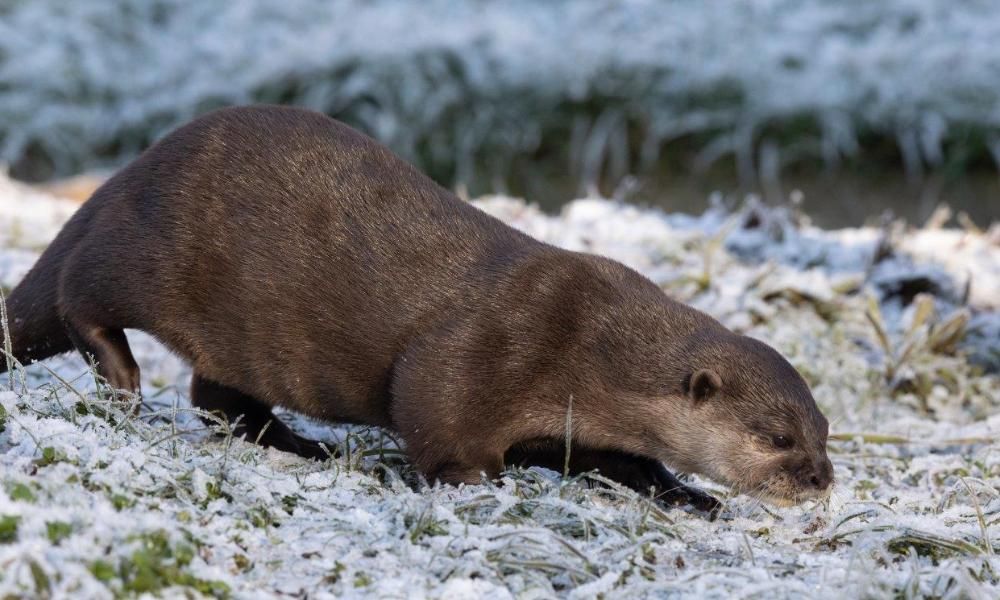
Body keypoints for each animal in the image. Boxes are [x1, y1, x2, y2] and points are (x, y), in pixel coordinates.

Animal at [1, 104, 836, 516]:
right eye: (776, 437)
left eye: (822, 430)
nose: (822, 481)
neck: (587, 348)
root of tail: (128, 173)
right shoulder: (488, 346)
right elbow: (429, 405)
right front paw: (470, 483)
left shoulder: (578, 422)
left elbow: (629, 463)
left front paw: (695, 497)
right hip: (148, 251)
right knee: (78, 293)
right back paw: (121, 377)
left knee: (217, 395)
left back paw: (303, 445)